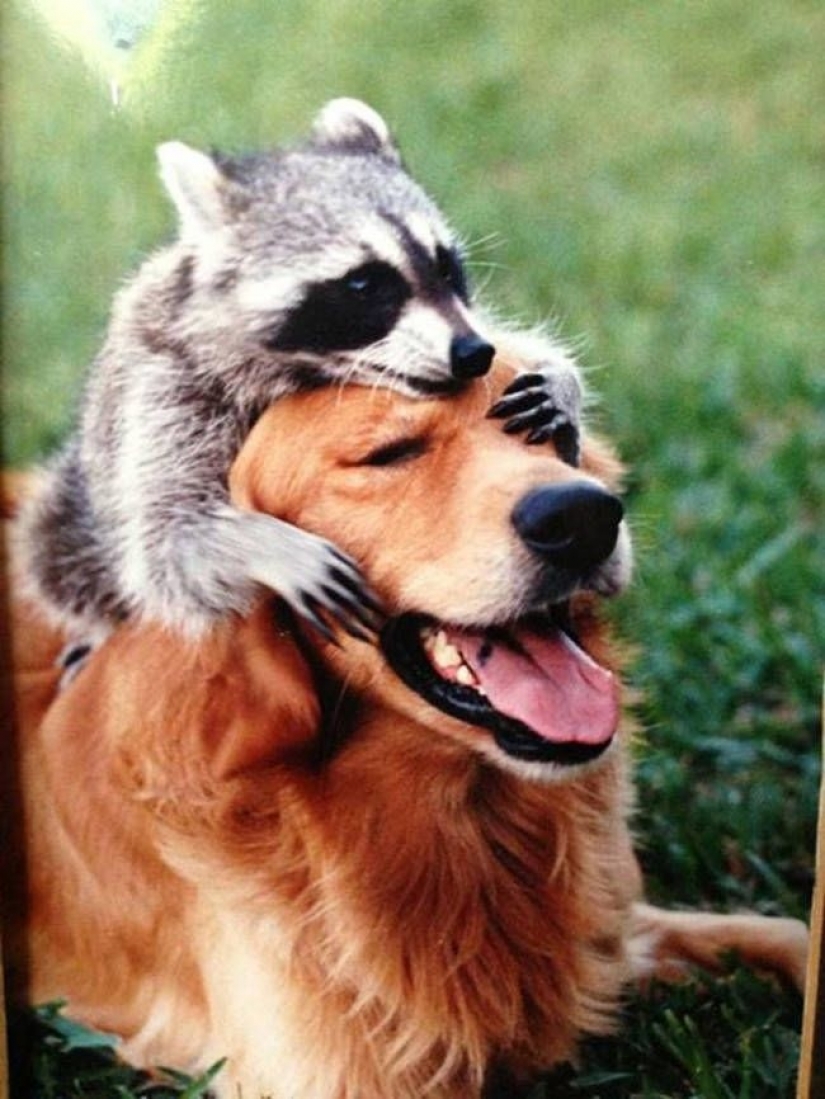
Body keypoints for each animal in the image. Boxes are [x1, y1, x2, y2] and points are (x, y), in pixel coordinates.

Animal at [22, 98, 583, 645]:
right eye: (363, 285)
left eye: (445, 267)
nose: (472, 354)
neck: (303, 369)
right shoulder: (168, 385)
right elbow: (169, 541)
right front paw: (263, 544)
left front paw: (560, 381)